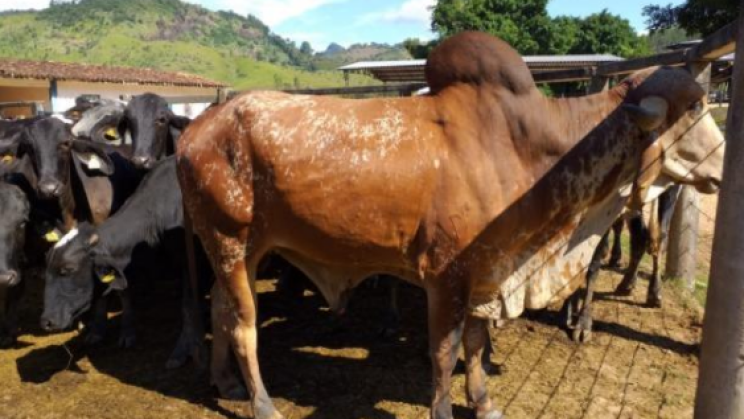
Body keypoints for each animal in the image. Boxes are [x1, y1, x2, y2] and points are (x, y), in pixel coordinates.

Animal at [42, 158, 208, 370]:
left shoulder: (193, 263)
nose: (46, 321)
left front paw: (183, 350)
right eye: (47, 268)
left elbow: (188, 306)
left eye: (67, 270)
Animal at [174, 32, 720, 419]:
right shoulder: (447, 276)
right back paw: (262, 403)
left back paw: (225, 383)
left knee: (221, 306)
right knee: (243, 324)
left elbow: (475, 347)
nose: (720, 166)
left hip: (244, 249)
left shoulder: (487, 271)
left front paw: (483, 401)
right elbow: (445, 351)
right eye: (694, 108)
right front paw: (443, 408)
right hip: (228, 239)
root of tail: (198, 127)